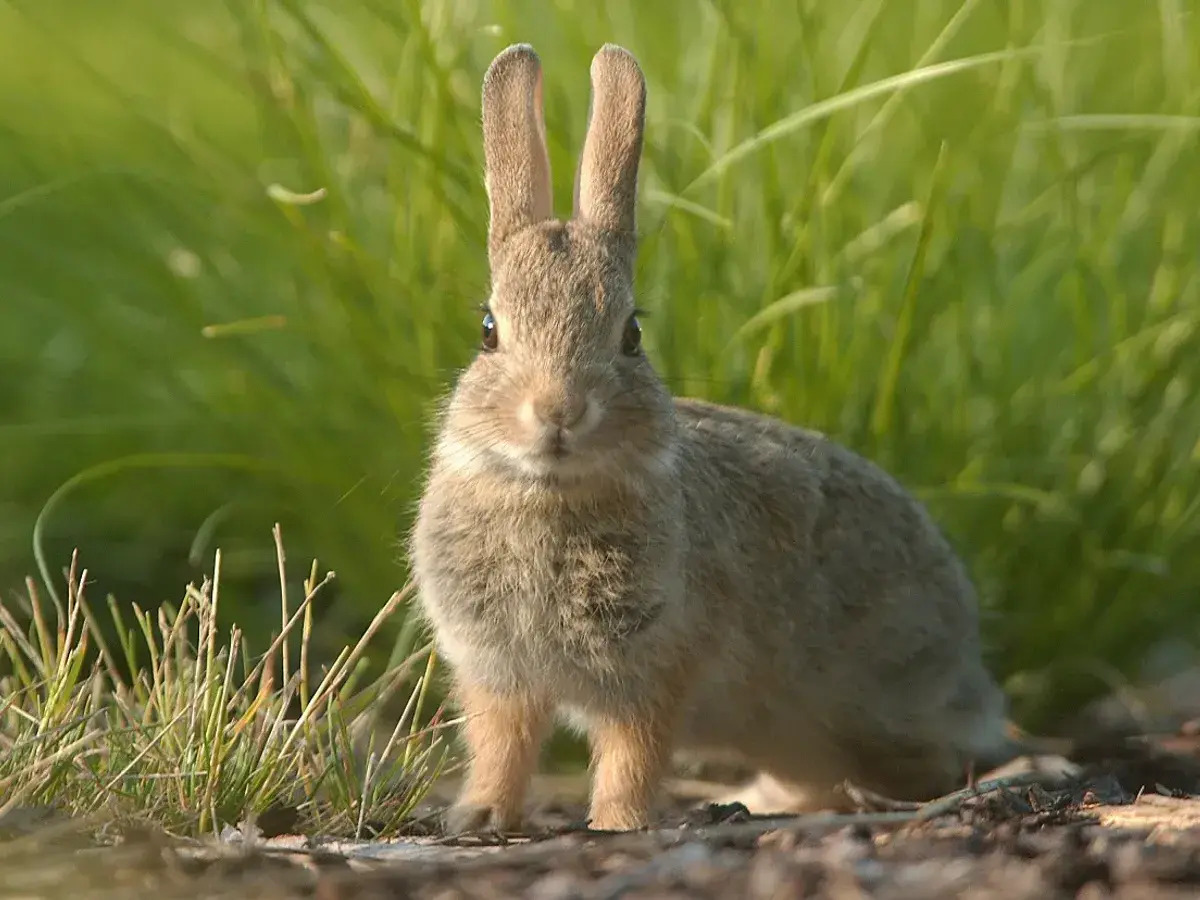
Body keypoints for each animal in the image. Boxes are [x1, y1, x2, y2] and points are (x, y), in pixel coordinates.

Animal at [409, 42, 1024, 834]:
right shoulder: (499, 674)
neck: (548, 494)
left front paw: (617, 823)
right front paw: (479, 816)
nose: (558, 410)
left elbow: (634, 753)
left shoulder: (658, 666)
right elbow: (502, 748)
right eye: (487, 332)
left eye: (632, 336)